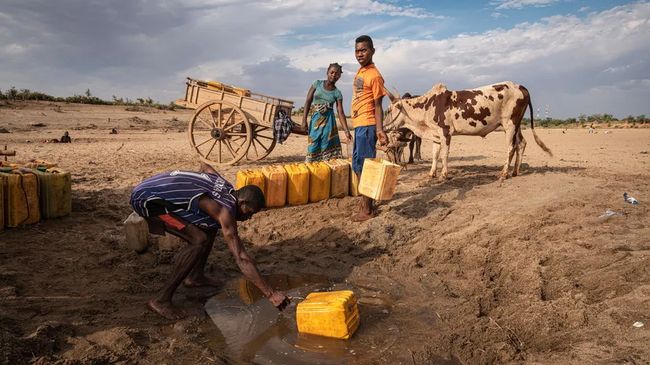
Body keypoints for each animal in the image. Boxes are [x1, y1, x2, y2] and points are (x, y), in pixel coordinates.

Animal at [384, 82, 552, 180]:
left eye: (389, 110)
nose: (384, 126)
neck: (429, 105)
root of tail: (521, 86)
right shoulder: (436, 135)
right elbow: (435, 154)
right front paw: (432, 173)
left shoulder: (445, 132)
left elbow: (444, 154)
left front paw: (444, 174)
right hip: (514, 126)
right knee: (521, 144)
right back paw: (515, 171)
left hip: (510, 125)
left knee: (511, 147)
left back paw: (504, 173)